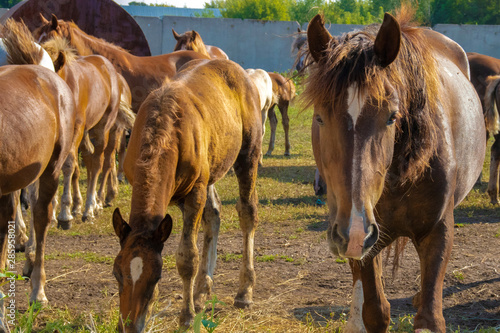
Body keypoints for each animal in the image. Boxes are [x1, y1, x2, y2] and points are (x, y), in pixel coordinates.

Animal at [113, 58, 262, 330]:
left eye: (156, 276)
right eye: (117, 273)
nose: (129, 326)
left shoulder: (195, 193)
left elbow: (187, 257)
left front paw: (187, 316)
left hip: (248, 155)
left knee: (247, 212)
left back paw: (244, 291)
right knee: (213, 215)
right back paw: (202, 291)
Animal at [302, 8, 486, 332]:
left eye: (391, 117)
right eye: (320, 117)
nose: (354, 231)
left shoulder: (438, 231)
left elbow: (429, 315)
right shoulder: (362, 238)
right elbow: (375, 311)